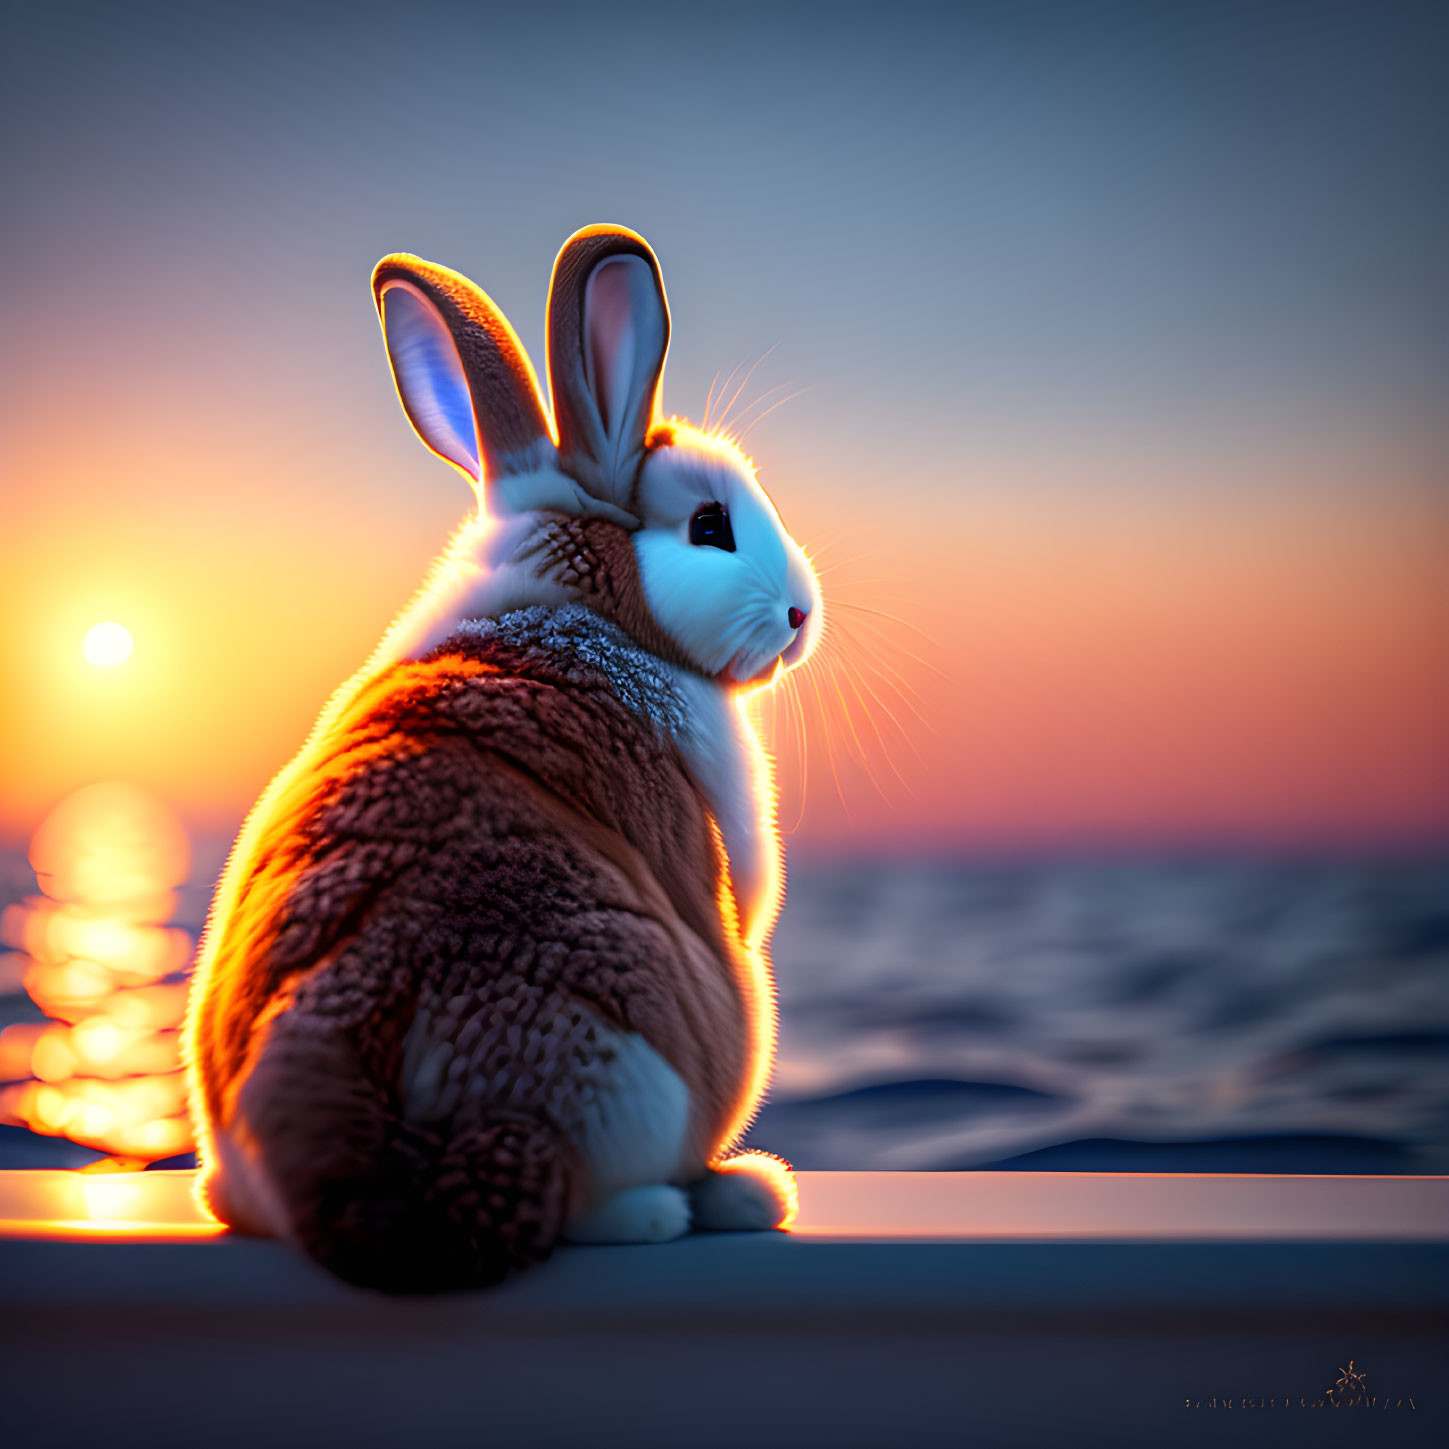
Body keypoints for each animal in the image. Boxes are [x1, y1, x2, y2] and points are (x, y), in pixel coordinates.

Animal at [178, 226, 828, 1292]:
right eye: (710, 526)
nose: (801, 616)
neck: (590, 601)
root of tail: (336, 1145)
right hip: (631, 1062)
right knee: (593, 1196)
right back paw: (717, 1197)